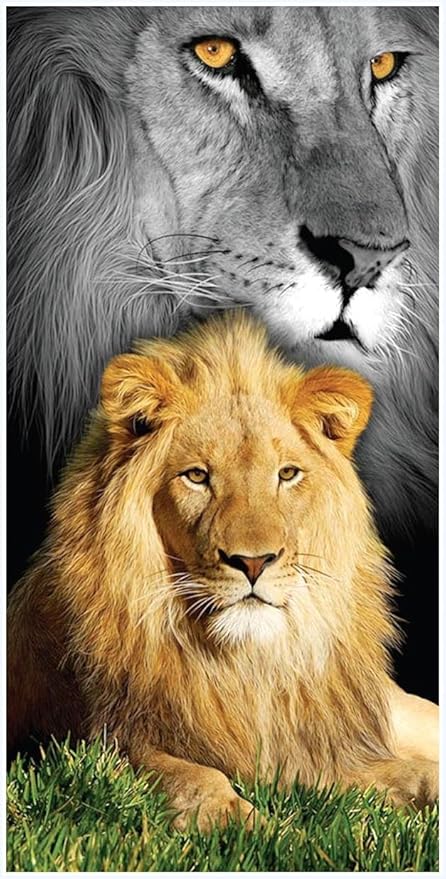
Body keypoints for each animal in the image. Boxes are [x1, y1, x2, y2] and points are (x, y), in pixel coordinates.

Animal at [8, 313, 438, 829]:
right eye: (197, 476)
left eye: (287, 474)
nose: (253, 562)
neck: (242, 663)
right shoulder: (99, 739)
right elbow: (195, 778)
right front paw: (258, 829)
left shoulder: (323, 748)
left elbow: (416, 773)